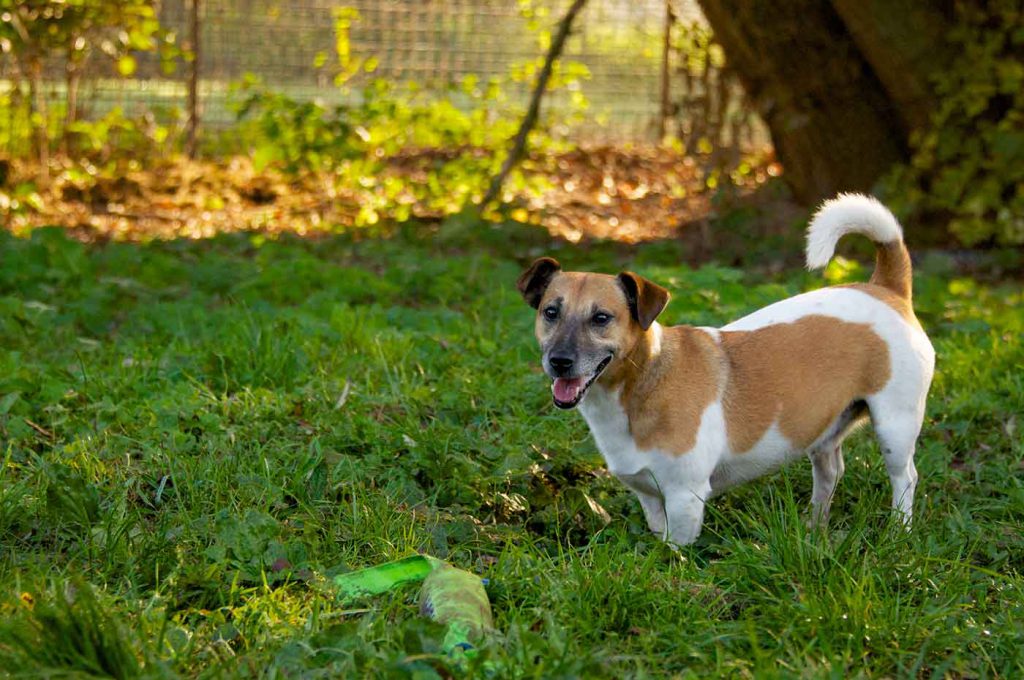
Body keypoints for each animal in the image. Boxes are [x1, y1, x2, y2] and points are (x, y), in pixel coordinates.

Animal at [520, 193, 937, 544]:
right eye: (550, 313)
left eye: (602, 318)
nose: (559, 361)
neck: (645, 379)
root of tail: (885, 289)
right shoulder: (651, 498)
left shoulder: (685, 498)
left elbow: (675, 551)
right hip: (824, 429)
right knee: (831, 471)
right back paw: (814, 527)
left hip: (895, 426)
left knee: (905, 478)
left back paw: (898, 533)